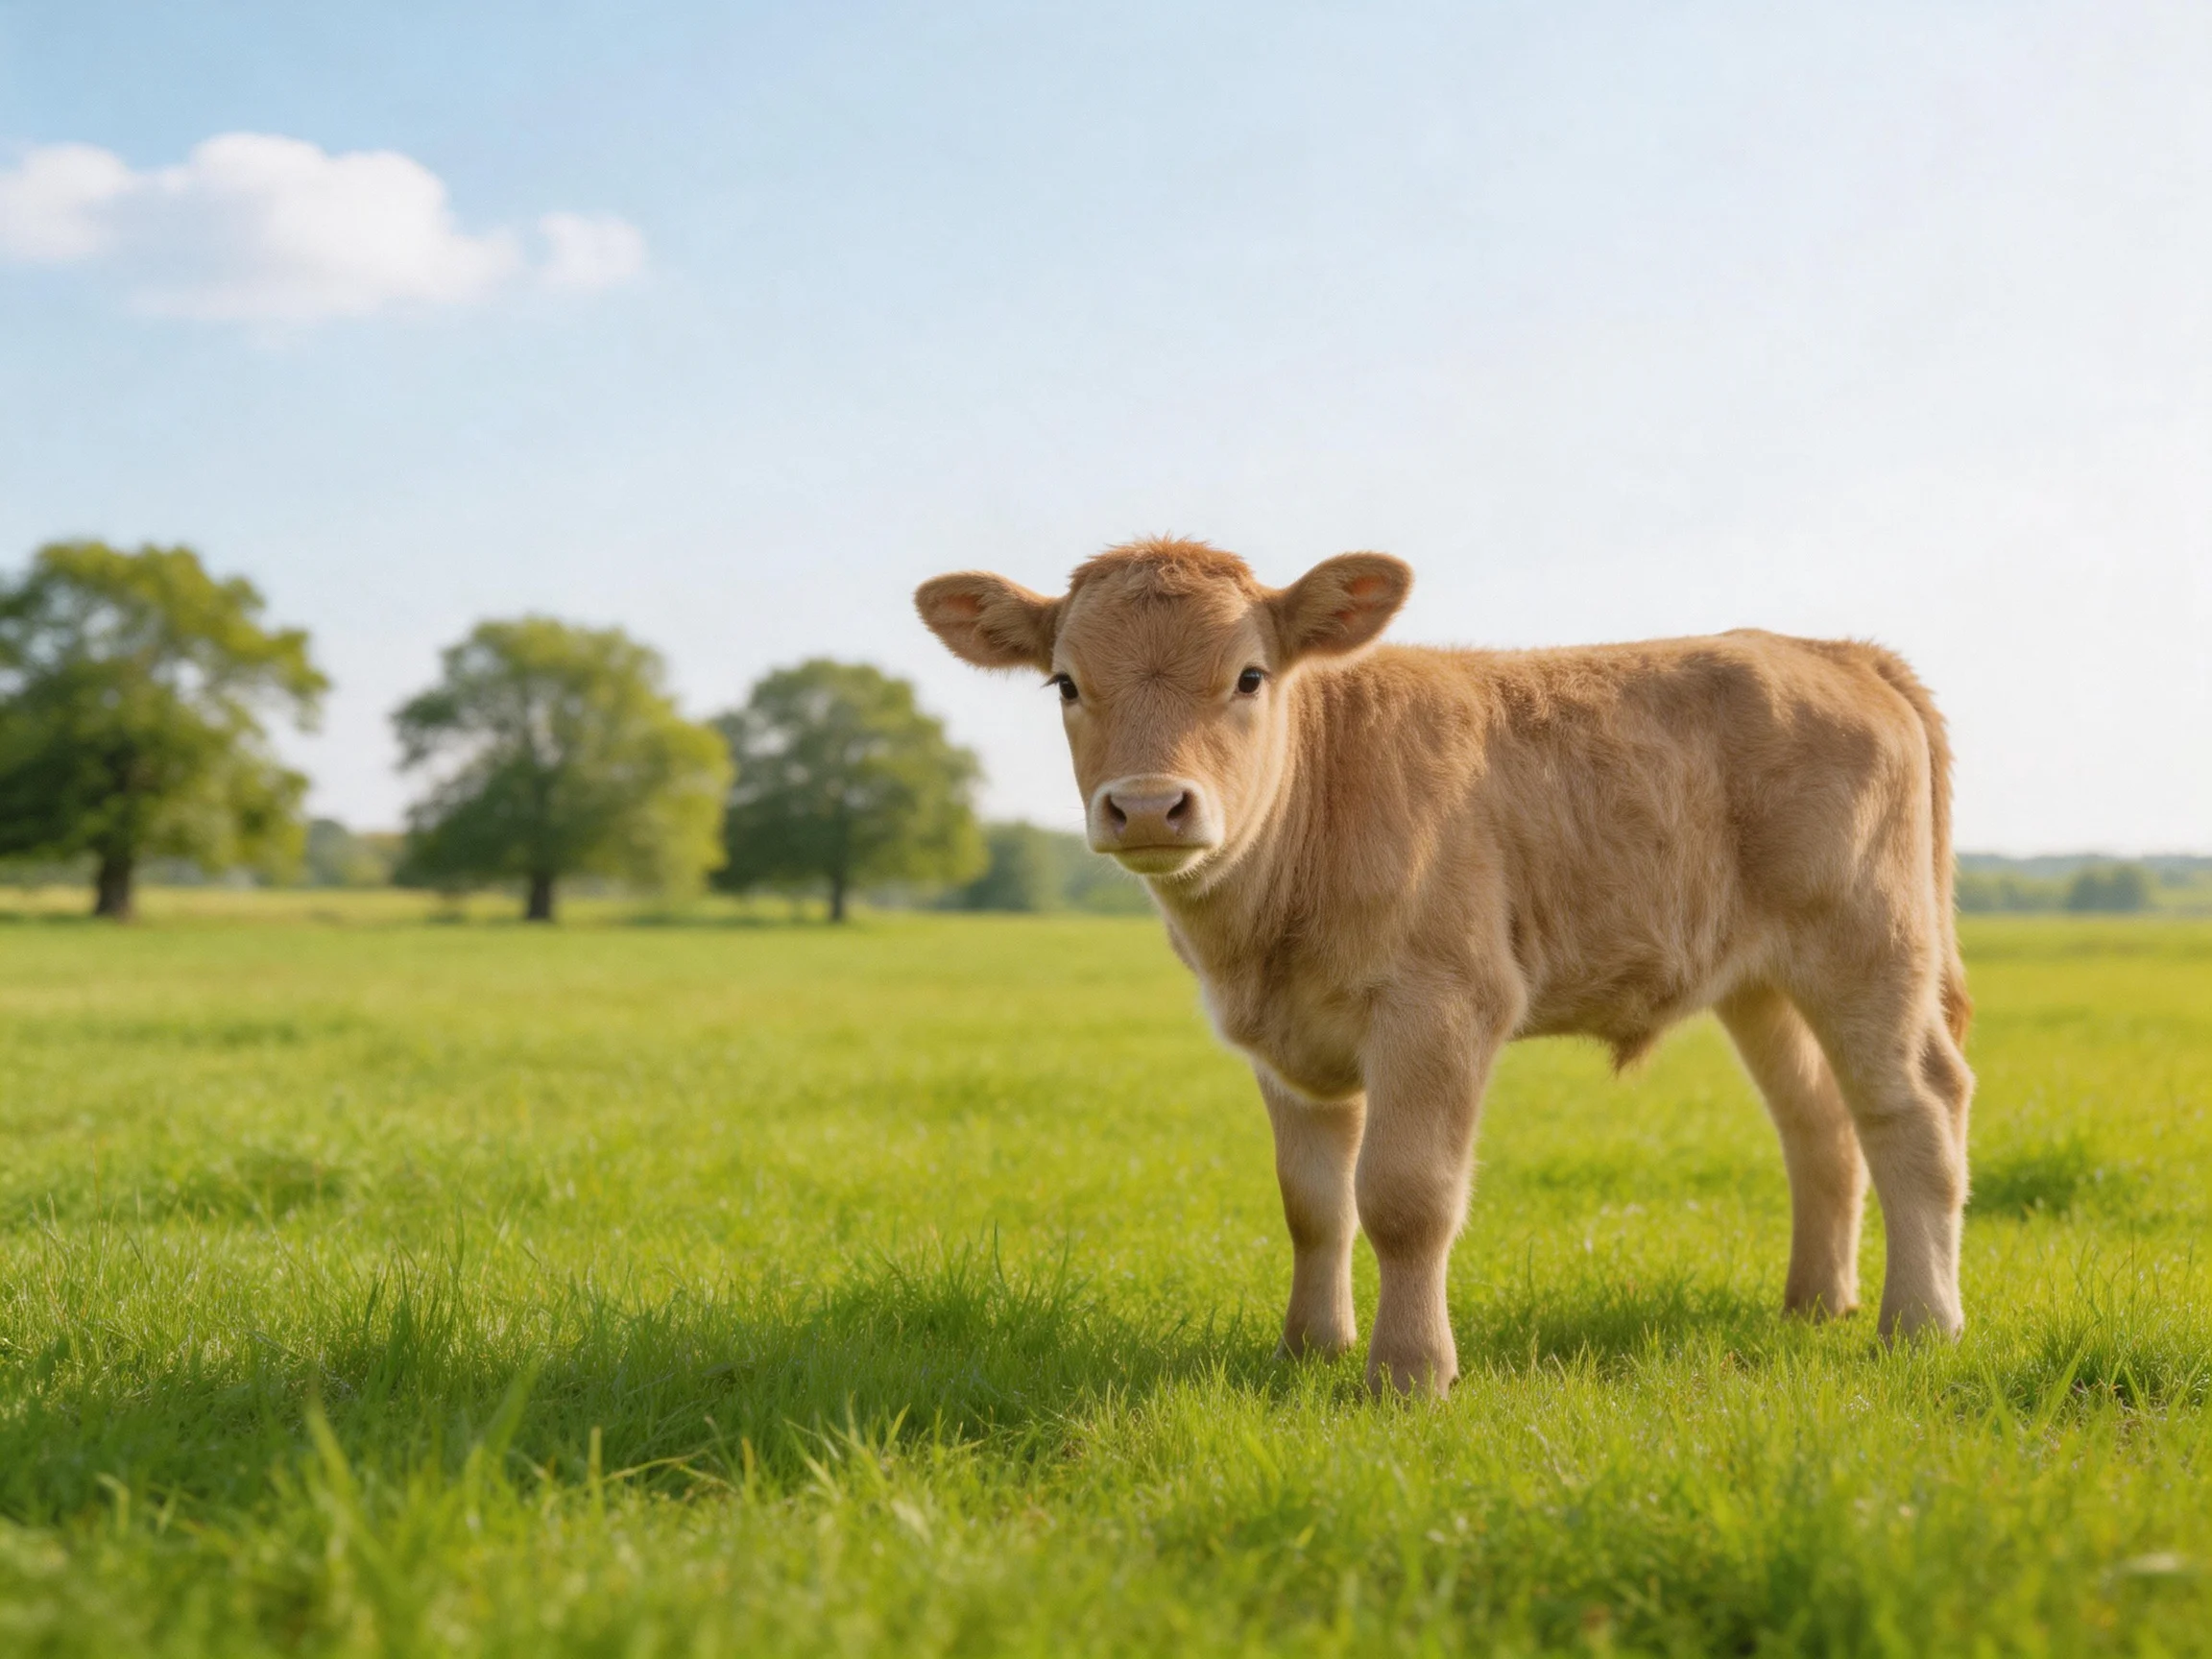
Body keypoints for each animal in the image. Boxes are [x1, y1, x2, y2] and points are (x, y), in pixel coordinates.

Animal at [915, 538, 1972, 1395]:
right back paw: (1816, 1302)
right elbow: (1312, 1204)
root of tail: (1831, 649)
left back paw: (1920, 1324)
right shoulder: (1282, 1041)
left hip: (1871, 944)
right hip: (1760, 981)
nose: (1145, 805)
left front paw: (1409, 1372)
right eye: (1065, 683)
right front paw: (1310, 1349)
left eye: (1250, 676)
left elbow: (1404, 1198)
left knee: (1915, 1108)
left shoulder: (1442, 1008)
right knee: (1819, 1122)